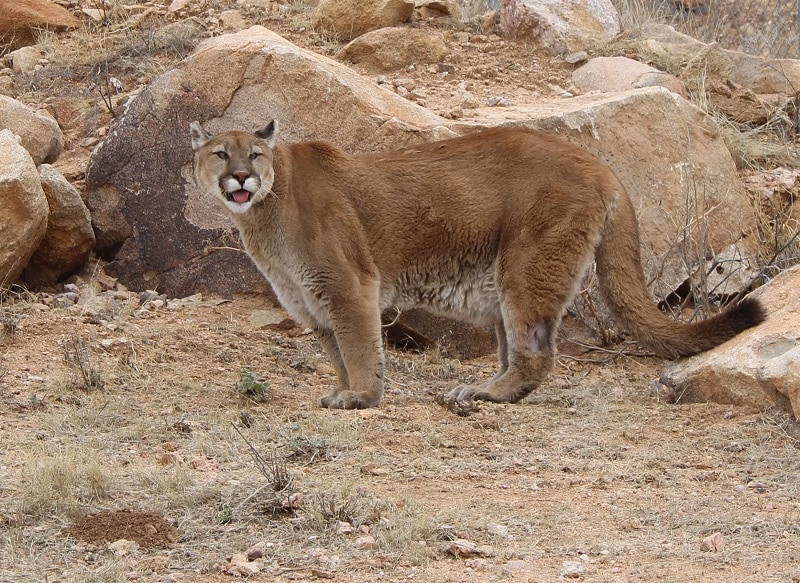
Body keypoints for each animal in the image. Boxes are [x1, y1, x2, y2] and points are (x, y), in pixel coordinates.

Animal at [189, 120, 765, 409]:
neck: (267, 211)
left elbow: (359, 347)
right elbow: (338, 352)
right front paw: (346, 390)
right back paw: (482, 387)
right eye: (220, 153)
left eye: (254, 154)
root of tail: (599, 163)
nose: (240, 177)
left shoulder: (349, 285)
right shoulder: (313, 302)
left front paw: (363, 397)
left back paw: (491, 394)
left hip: (526, 263)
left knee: (537, 349)